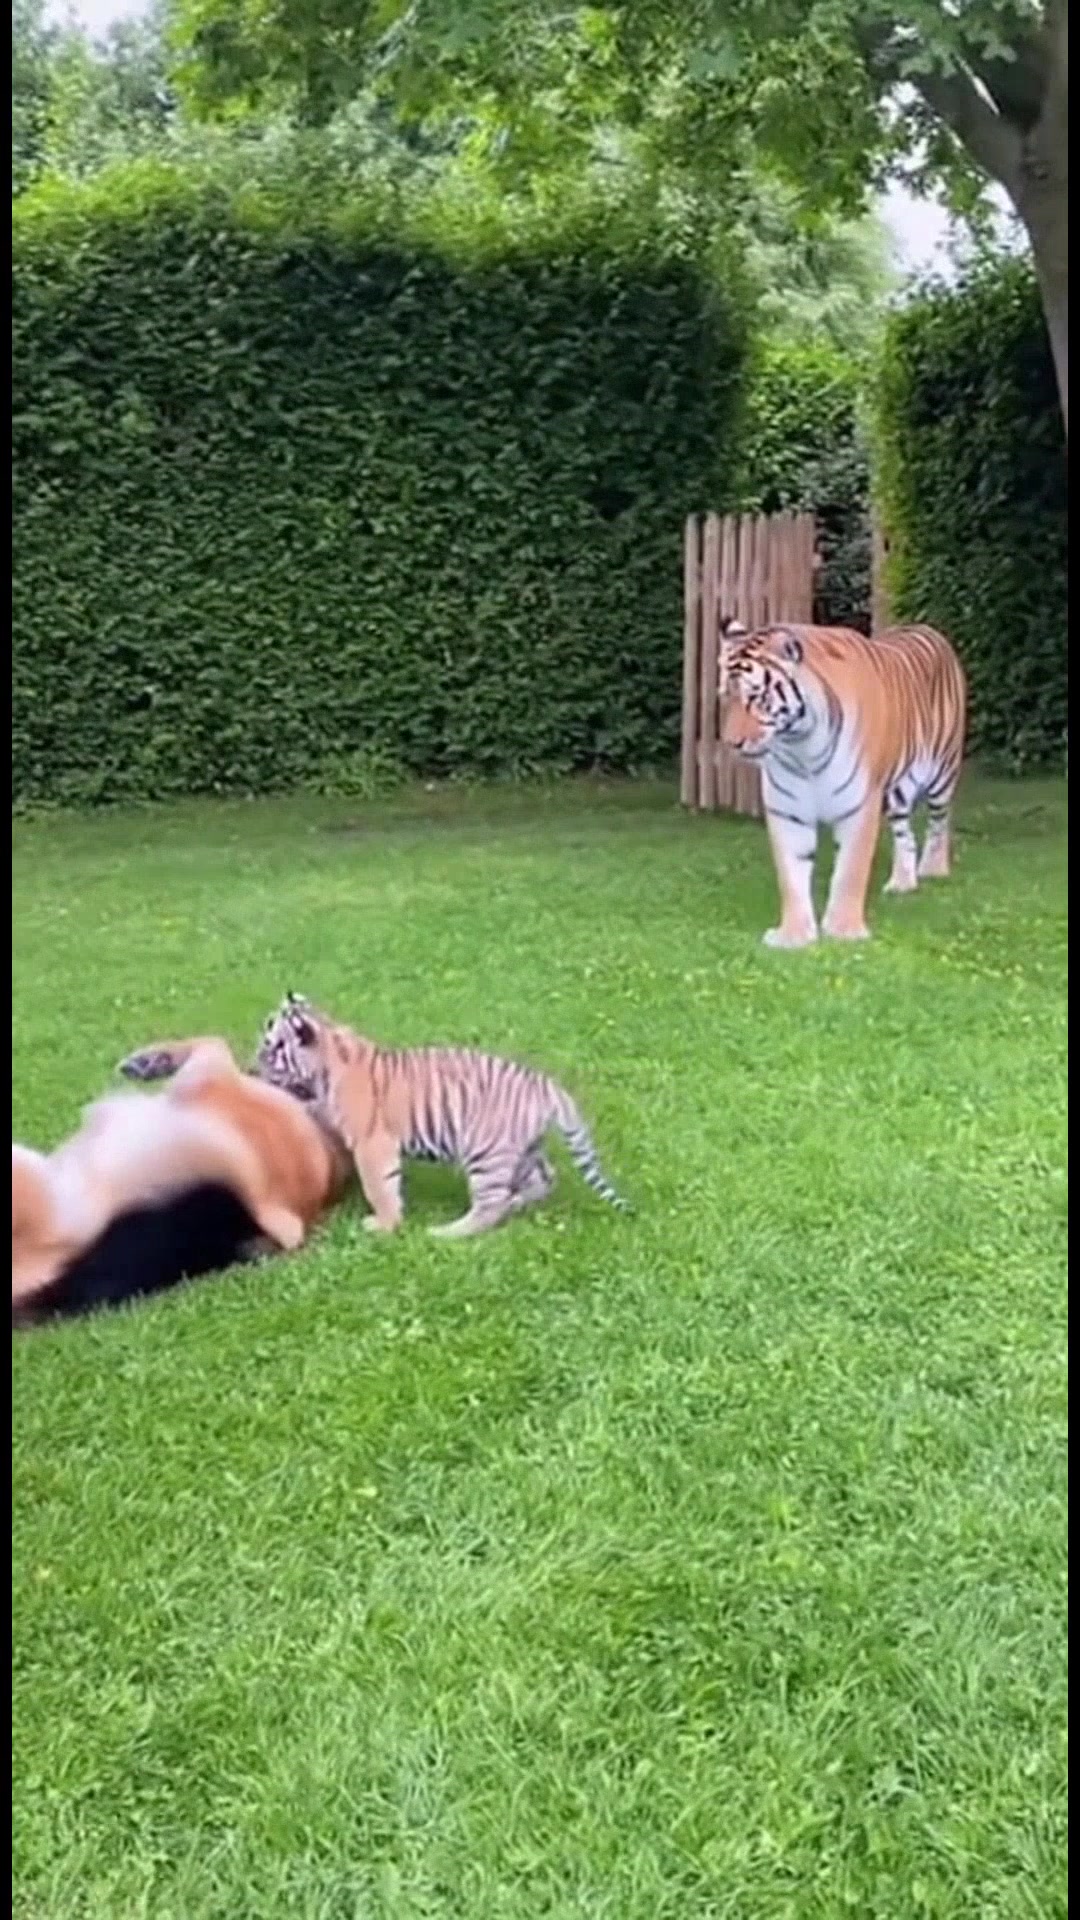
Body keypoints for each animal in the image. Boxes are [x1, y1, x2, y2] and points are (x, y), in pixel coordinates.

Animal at [254, 993, 629, 1238]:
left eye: (271, 1047)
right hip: (523, 1150)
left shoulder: (372, 1143)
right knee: (544, 1178)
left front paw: (384, 1225)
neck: (328, 1059)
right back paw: (517, 1203)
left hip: (486, 1153)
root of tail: (546, 1084)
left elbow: (380, 1186)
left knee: (490, 1204)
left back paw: (446, 1233)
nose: (253, 1067)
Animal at [718, 619, 967, 947]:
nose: (732, 743)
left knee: (940, 821)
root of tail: (927, 628)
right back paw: (902, 883)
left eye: (757, 697)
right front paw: (793, 934)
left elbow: (850, 871)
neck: (801, 746)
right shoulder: (786, 809)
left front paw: (843, 930)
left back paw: (934, 869)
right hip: (898, 793)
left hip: (943, 771)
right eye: (724, 696)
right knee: (905, 835)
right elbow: (791, 874)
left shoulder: (860, 805)